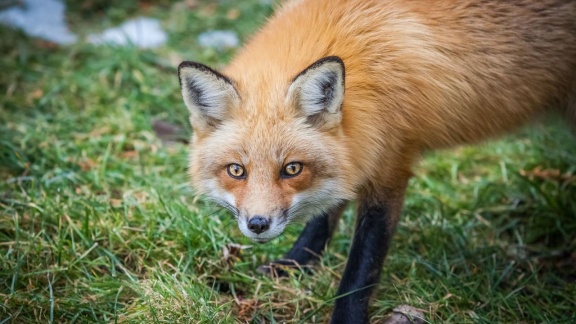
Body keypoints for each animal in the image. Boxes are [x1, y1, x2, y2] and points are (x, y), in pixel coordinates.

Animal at [176, 0, 576, 320]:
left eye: (292, 169)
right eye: (236, 170)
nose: (258, 225)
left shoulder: (391, 164)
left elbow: (362, 265)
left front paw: (346, 318)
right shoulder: (356, 154)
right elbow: (323, 218)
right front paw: (294, 265)